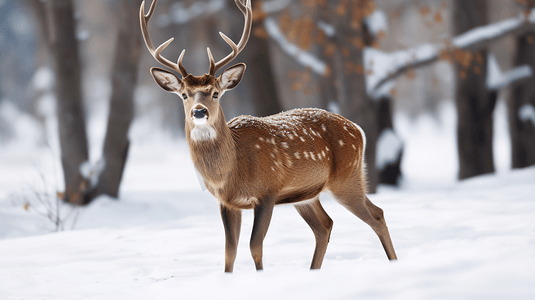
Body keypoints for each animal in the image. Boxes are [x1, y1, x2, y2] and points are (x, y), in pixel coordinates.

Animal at [140, 0, 396, 272]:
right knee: (325, 225)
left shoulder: (267, 192)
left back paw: (394, 262)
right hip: (307, 195)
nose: (199, 111)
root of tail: (358, 129)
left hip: (347, 177)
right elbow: (229, 251)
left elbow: (255, 246)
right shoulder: (227, 202)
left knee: (376, 214)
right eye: (184, 95)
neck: (231, 173)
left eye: (216, 93)